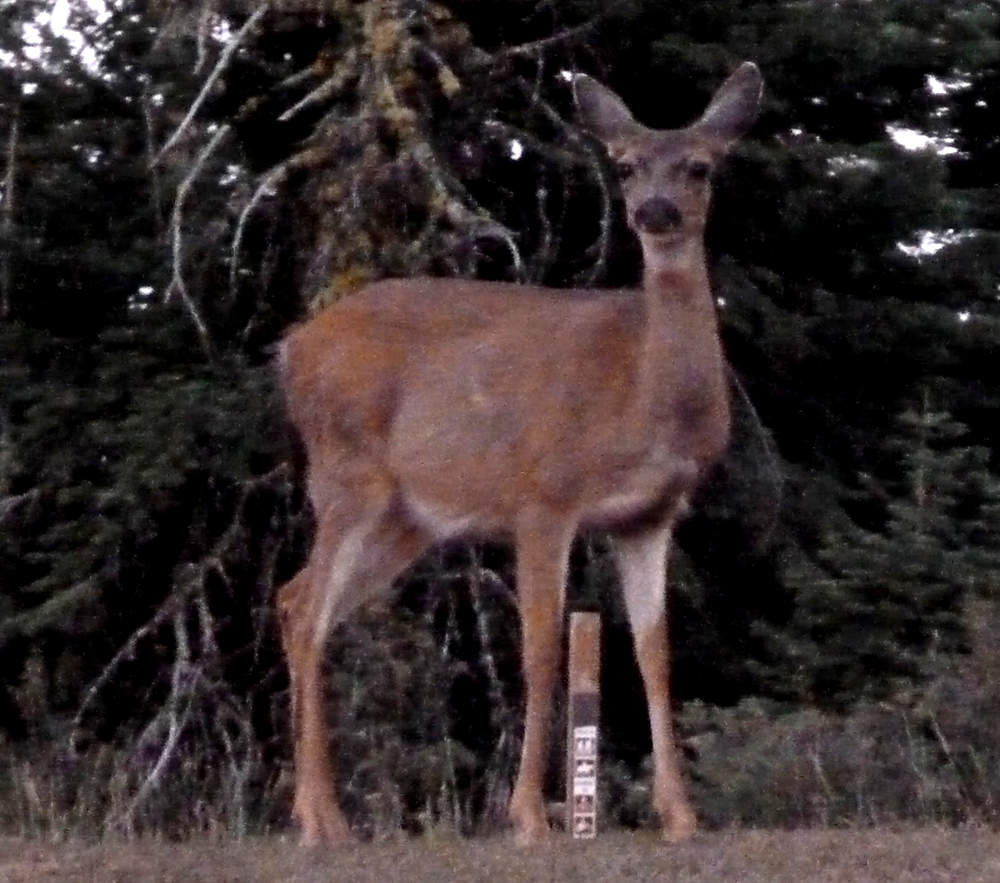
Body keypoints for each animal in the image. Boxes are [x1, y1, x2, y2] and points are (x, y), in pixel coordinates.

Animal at [275, 61, 764, 845]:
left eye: (700, 166)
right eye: (624, 166)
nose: (654, 211)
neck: (641, 392)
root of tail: (290, 350)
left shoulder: (650, 516)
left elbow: (655, 656)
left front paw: (681, 816)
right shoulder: (544, 496)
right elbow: (540, 650)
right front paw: (530, 815)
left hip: (407, 519)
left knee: (296, 600)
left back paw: (312, 813)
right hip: (347, 476)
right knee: (309, 610)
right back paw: (327, 820)